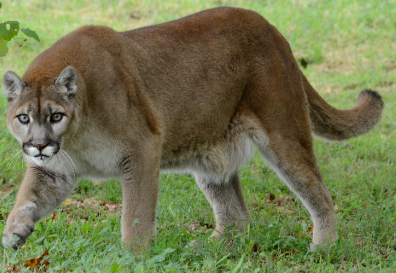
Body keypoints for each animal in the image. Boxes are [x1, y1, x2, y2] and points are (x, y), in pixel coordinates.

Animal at [1, 7, 382, 251]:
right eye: (24, 118)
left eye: (55, 116)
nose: (38, 146)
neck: (74, 137)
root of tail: (272, 28)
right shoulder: (54, 169)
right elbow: (27, 195)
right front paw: (14, 231)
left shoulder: (141, 148)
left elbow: (135, 213)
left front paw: (134, 256)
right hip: (211, 155)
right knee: (238, 216)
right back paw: (210, 250)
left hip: (283, 133)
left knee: (318, 191)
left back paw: (323, 247)